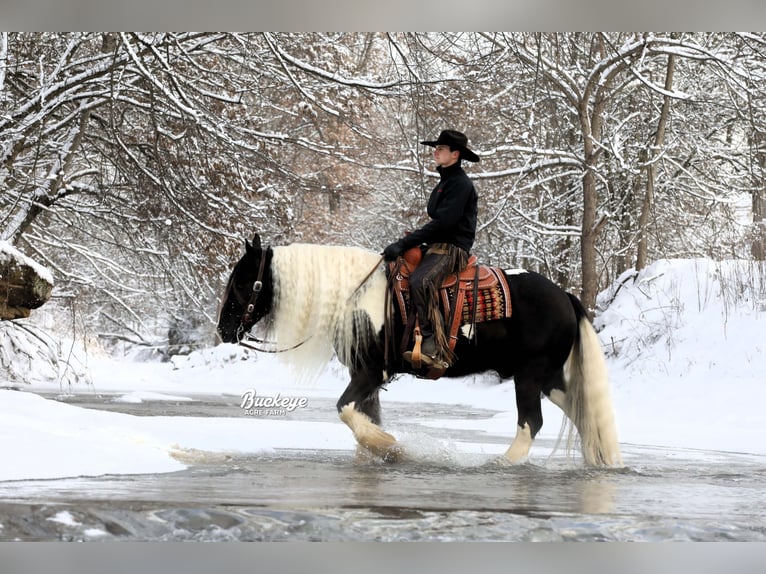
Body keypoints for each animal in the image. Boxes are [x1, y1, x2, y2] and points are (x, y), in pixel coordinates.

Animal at [216, 233, 624, 468]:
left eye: (243, 281)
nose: (223, 329)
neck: (355, 295)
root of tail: (565, 296)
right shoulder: (367, 378)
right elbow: (365, 417)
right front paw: (380, 453)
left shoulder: (369, 373)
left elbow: (346, 410)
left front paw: (391, 446)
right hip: (548, 379)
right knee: (582, 412)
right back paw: (599, 461)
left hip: (529, 376)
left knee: (530, 424)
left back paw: (500, 464)